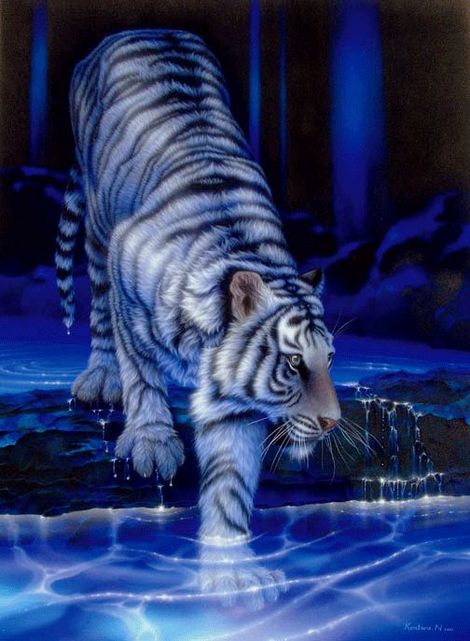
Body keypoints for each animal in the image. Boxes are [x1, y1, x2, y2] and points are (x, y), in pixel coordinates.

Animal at [56, 29, 341, 545]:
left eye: (328, 359)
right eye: (293, 362)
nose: (332, 422)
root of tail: (140, 30)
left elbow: (230, 467)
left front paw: (226, 543)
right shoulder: (125, 265)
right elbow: (141, 372)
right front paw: (152, 443)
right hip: (98, 229)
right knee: (99, 310)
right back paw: (100, 379)